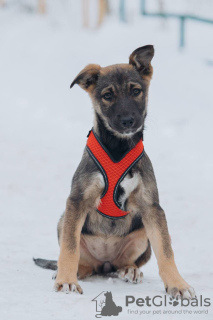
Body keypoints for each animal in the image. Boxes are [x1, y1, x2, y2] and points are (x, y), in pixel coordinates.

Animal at [34, 45, 196, 300]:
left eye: (136, 91)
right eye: (108, 96)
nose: (129, 121)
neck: (118, 148)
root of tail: (104, 264)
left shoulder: (152, 208)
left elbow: (166, 251)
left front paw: (178, 285)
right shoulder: (77, 201)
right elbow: (69, 248)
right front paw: (66, 281)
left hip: (142, 232)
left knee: (126, 263)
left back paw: (129, 270)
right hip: (63, 221)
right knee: (81, 260)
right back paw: (72, 271)